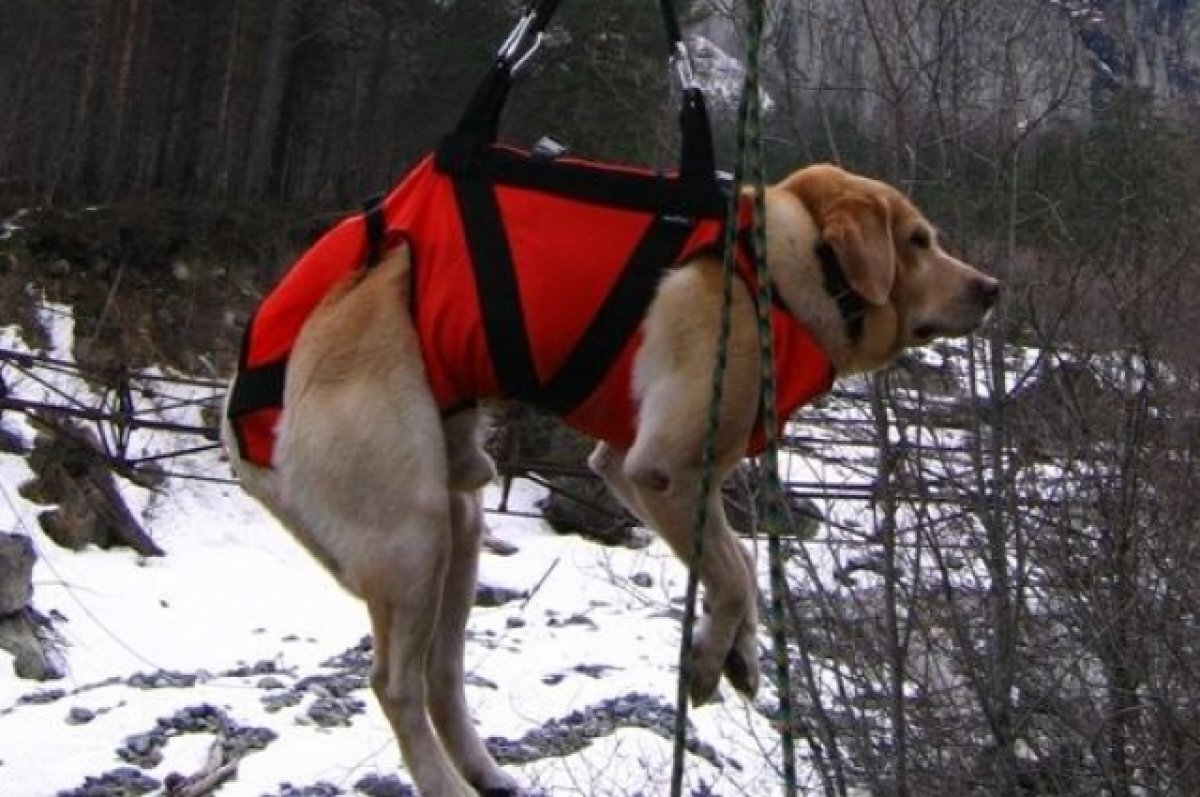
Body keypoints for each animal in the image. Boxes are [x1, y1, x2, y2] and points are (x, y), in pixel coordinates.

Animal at [220, 163, 998, 797]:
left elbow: (734, 560)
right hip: (412, 531)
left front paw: (740, 649)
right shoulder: (663, 470)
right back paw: (441, 779)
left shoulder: (636, 471)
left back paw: (483, 770)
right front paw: (711, 656)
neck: (790, 265)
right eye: (919, 240)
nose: (991, 288)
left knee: (442, 675)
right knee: (395, 685)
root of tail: (238, 418)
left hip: (458, 527)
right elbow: (735, 570)